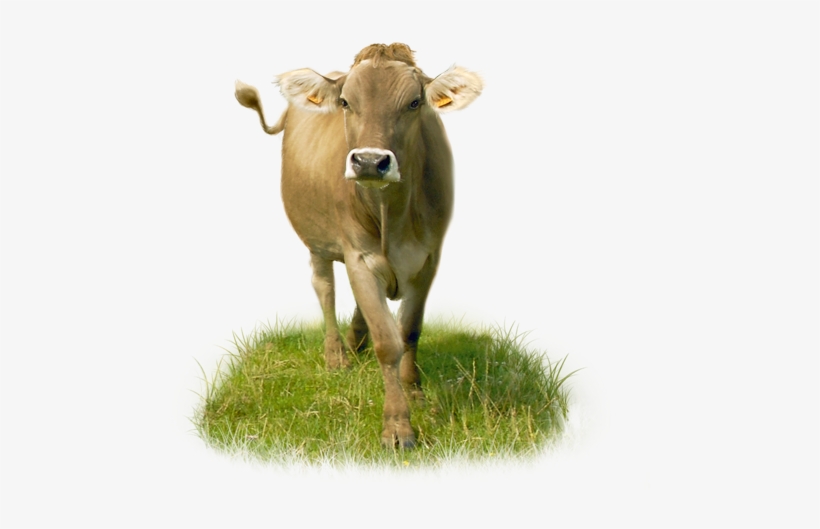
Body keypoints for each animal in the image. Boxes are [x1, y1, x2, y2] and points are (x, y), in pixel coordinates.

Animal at [235, 43, 482, 449]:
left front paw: (413, 390)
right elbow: (387, 341)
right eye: (346, 102)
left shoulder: (428, 259)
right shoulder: (359, 256)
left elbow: (409, 331)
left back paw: (354, 340)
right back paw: (336, 354)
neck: (391, 217)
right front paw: (397, 425)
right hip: (316, 240)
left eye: (414, 102)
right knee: (325, 288)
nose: (370, 161)